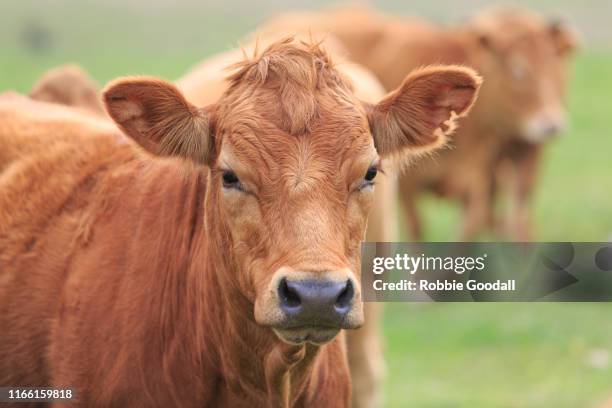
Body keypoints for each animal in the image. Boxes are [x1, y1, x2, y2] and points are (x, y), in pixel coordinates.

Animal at [262, 6, 580, 241]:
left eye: (557, 68)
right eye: (517, 70)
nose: (551, 123)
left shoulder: (481, 178)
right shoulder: (409, 185)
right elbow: (418, 230)